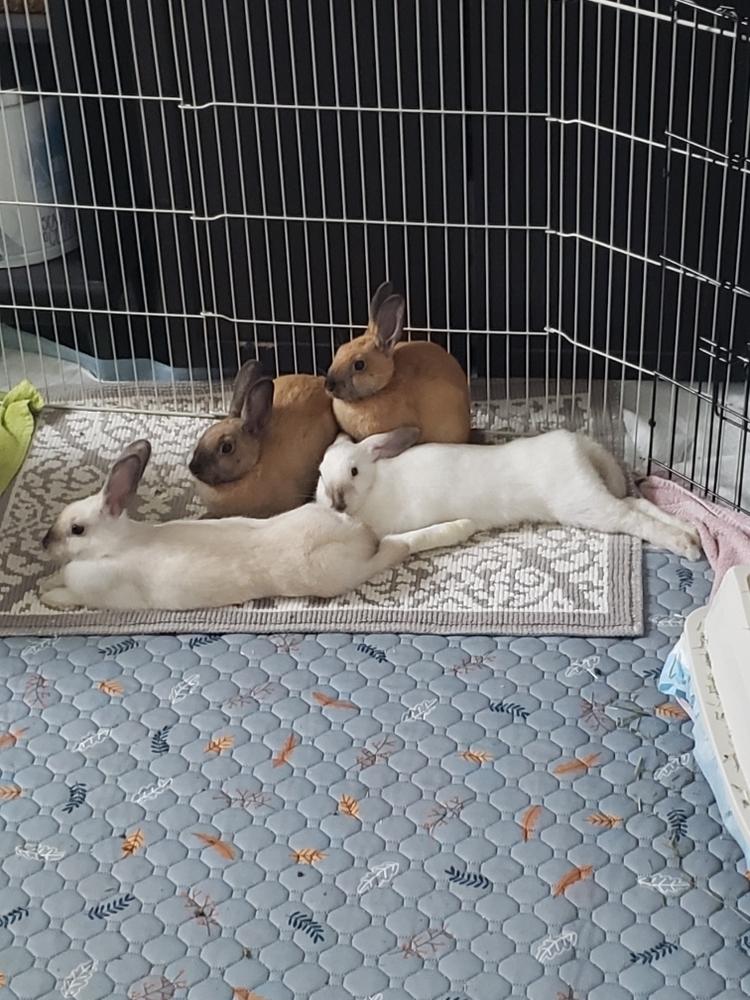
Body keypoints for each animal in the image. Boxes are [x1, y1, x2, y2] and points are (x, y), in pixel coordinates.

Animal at [38, 439, 476, 611]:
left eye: (76, 529)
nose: (44, 544)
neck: (117, 543)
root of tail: (351, 530)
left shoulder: (98, 591)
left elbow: (71, 595)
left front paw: (48, 596)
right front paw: (46, 580)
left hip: (334, 574)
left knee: (396, 547)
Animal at [316, 426, 703, 559]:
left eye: (353, 471)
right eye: (320, 473)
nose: (336, 501)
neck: (375, 486)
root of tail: (576, 445)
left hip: (583, 503)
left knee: (630, 517)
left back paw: (685, 546)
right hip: (593, 493)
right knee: (637, 503)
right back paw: (693, 533)